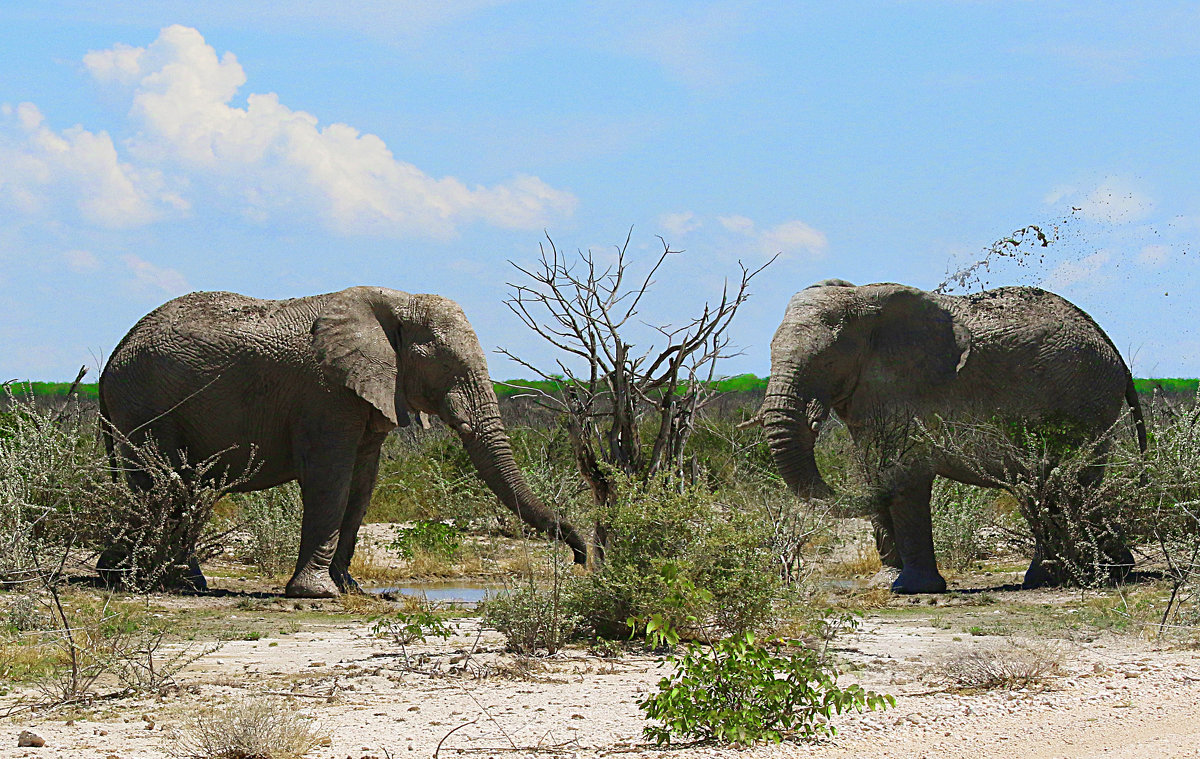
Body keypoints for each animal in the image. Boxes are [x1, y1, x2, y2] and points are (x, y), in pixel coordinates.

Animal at [100, 282, 588, 595]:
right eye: (446, 366)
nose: (582, 558)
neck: (396, 303)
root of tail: (110, 360)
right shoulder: (325, 392)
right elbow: (329, 478)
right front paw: (317, 594)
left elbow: (362, 482)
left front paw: (349, 588)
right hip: (146, 405)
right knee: (160, 485)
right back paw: (154, 581)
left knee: (165, 489)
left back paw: (139, 579)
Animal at [753, 278, 1147, 593]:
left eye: (829, 360)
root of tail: (1112, 349)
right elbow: (873, 471)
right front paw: (886, 582)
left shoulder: (904, 388)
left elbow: (904, 475)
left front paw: (910, 589)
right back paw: (1110, 570)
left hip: (1084, 398)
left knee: (1066, 484)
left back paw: (1056, 577)